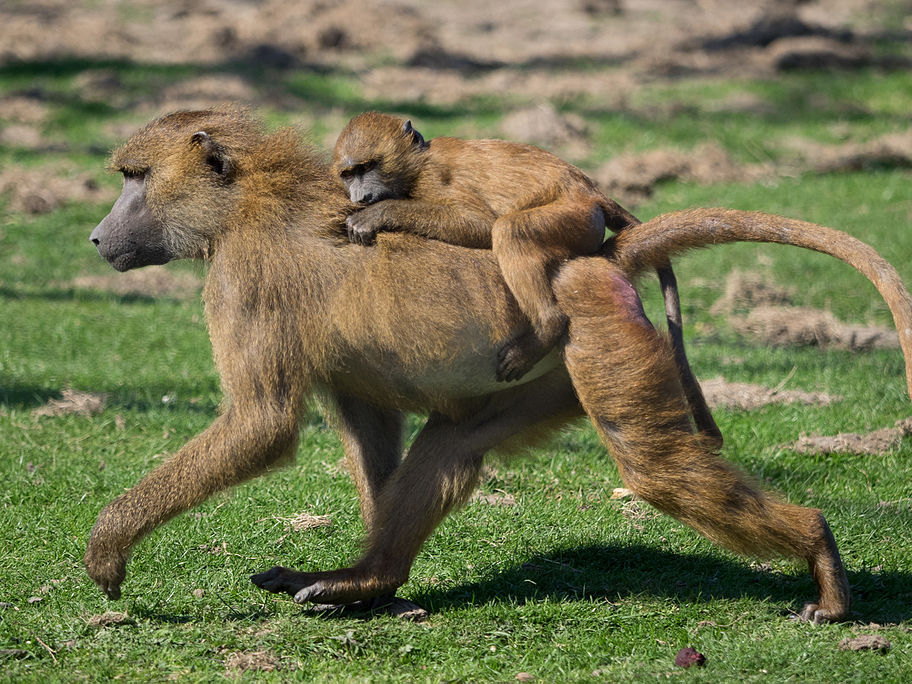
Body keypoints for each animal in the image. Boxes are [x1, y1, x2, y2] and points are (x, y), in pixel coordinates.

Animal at [86, 108, 912, 623]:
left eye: (136, 179)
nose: (96, 239)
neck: (248, 202)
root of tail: (599, 255)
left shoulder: (241, 280)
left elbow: (260, 427)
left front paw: (109, 545)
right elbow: (369, 423)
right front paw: (369, 576)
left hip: (597, 334)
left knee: (655, 469)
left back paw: (819, 551)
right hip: (545, 382)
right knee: (450, 445)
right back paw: (370, 579)